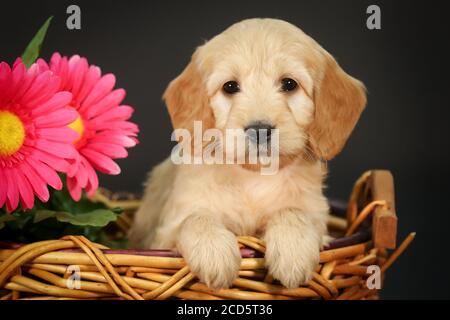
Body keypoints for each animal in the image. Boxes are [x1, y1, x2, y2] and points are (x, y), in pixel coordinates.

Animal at [129, 18, 366, 290]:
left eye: (289, 84)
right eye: (230, 86)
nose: (260, 130)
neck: (253, 177)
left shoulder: (317, 215)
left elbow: (293, 211)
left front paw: (293, 251)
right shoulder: (164, 234)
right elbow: (195, 218)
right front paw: (215, 254)